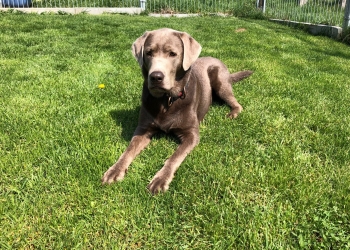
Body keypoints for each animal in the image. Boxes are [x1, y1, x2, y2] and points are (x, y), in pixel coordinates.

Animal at [100, 27, 252, 195]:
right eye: (148, 52)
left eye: (172, 54)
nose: (156, 76)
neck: (166, 100)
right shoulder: (143, 128)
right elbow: (129, 150)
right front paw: (115, 170)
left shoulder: (191, 134)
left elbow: (175, 156)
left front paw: (160, 179)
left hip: (219, 81)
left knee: (236, 102)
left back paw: (233, 113)